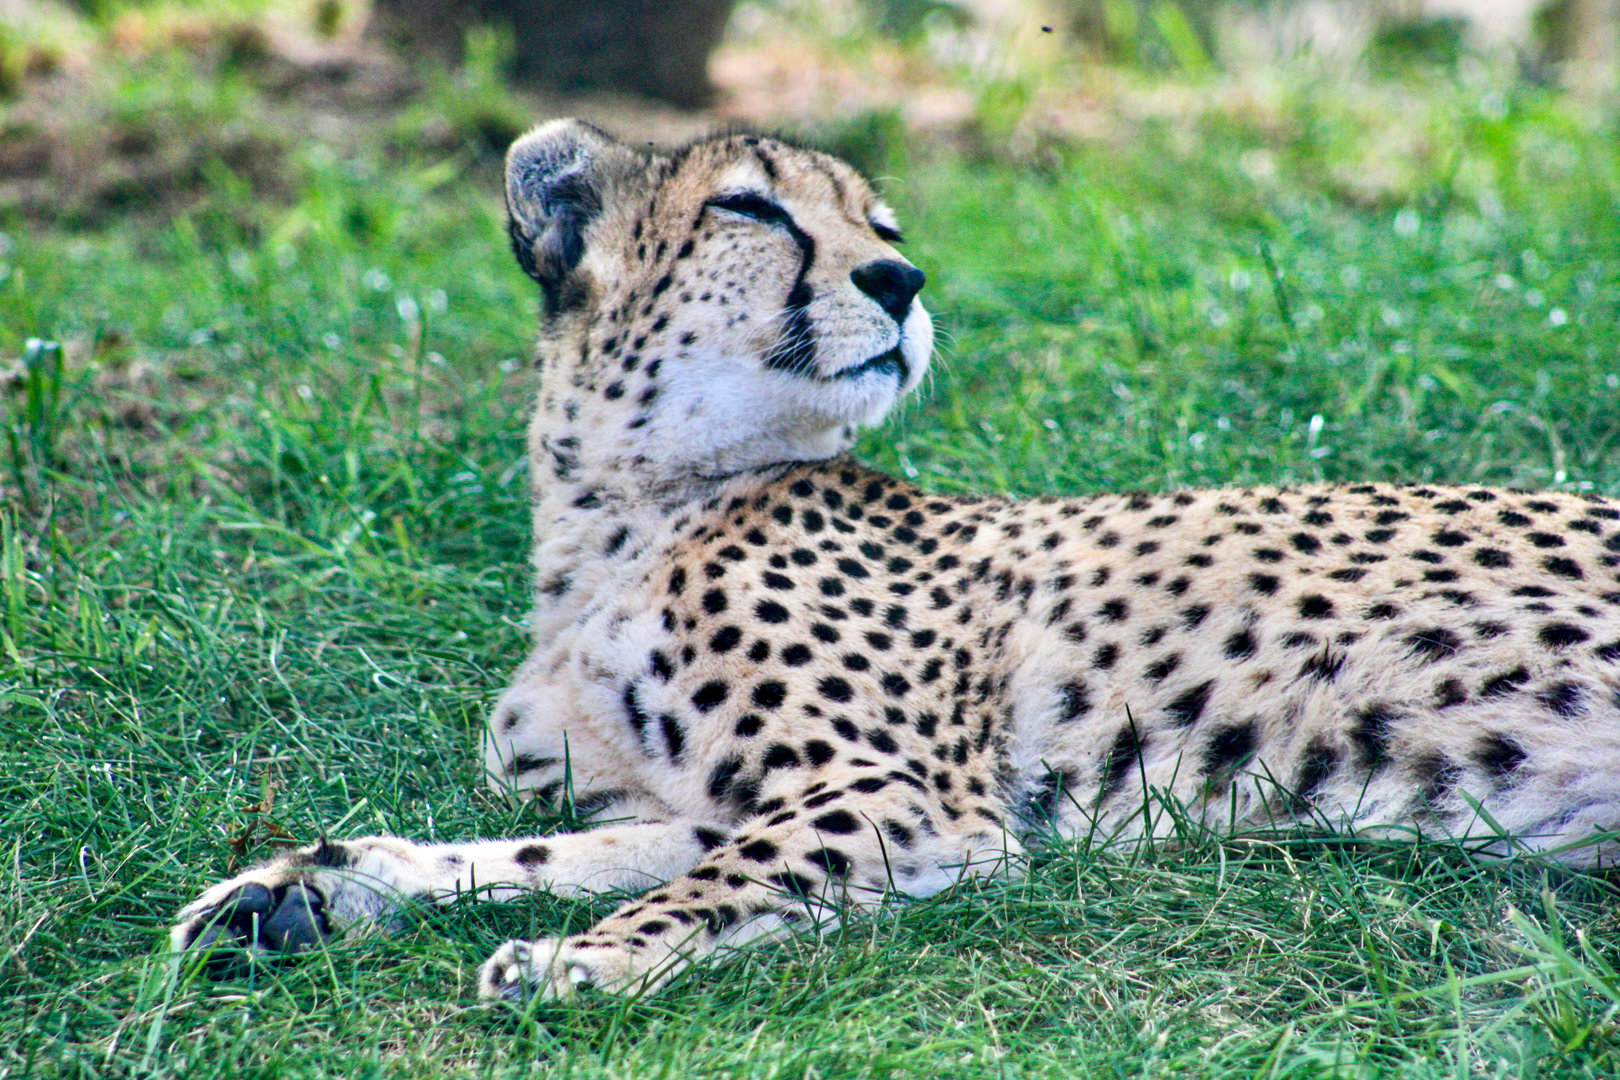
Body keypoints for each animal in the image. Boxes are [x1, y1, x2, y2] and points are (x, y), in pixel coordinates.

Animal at [171, 119, 1620, 1002]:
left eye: (883, 224)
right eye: (752, 208)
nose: (902, 282)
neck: (627, 510)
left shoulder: (908, 799)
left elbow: (707, 883)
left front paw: (578, 963)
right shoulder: (686, 799)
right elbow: (539, 847)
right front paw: (304, 890)